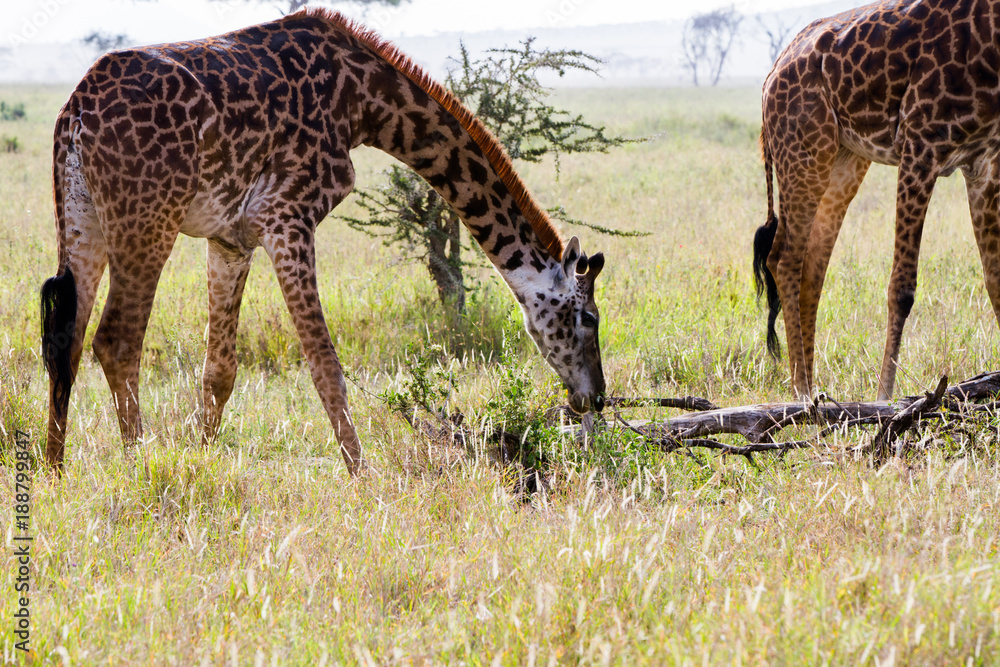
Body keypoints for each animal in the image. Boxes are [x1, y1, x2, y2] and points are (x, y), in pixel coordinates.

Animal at [39, 8, 607, 474]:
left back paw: (54, 472)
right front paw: (364, 475)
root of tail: (77, 112)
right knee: (117, 341)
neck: (364, 102)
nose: (595, 398)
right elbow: (325, 363)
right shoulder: (287, 216)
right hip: (147, 218)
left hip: (83, 218)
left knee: (67, 339)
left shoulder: (230, 238)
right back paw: (137, 462)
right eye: (587, 318)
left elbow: (219, 369)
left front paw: (202, 460)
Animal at [753, 0, 1000, 401]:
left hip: (844, 159)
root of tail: (770, 75)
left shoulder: (985, 163)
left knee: (812, 266)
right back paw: (802, 392)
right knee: (784, 258)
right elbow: (902, 289)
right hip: (803, 151)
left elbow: (995, 282)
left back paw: (815, 390)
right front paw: (885, 398)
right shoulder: (921, 144)